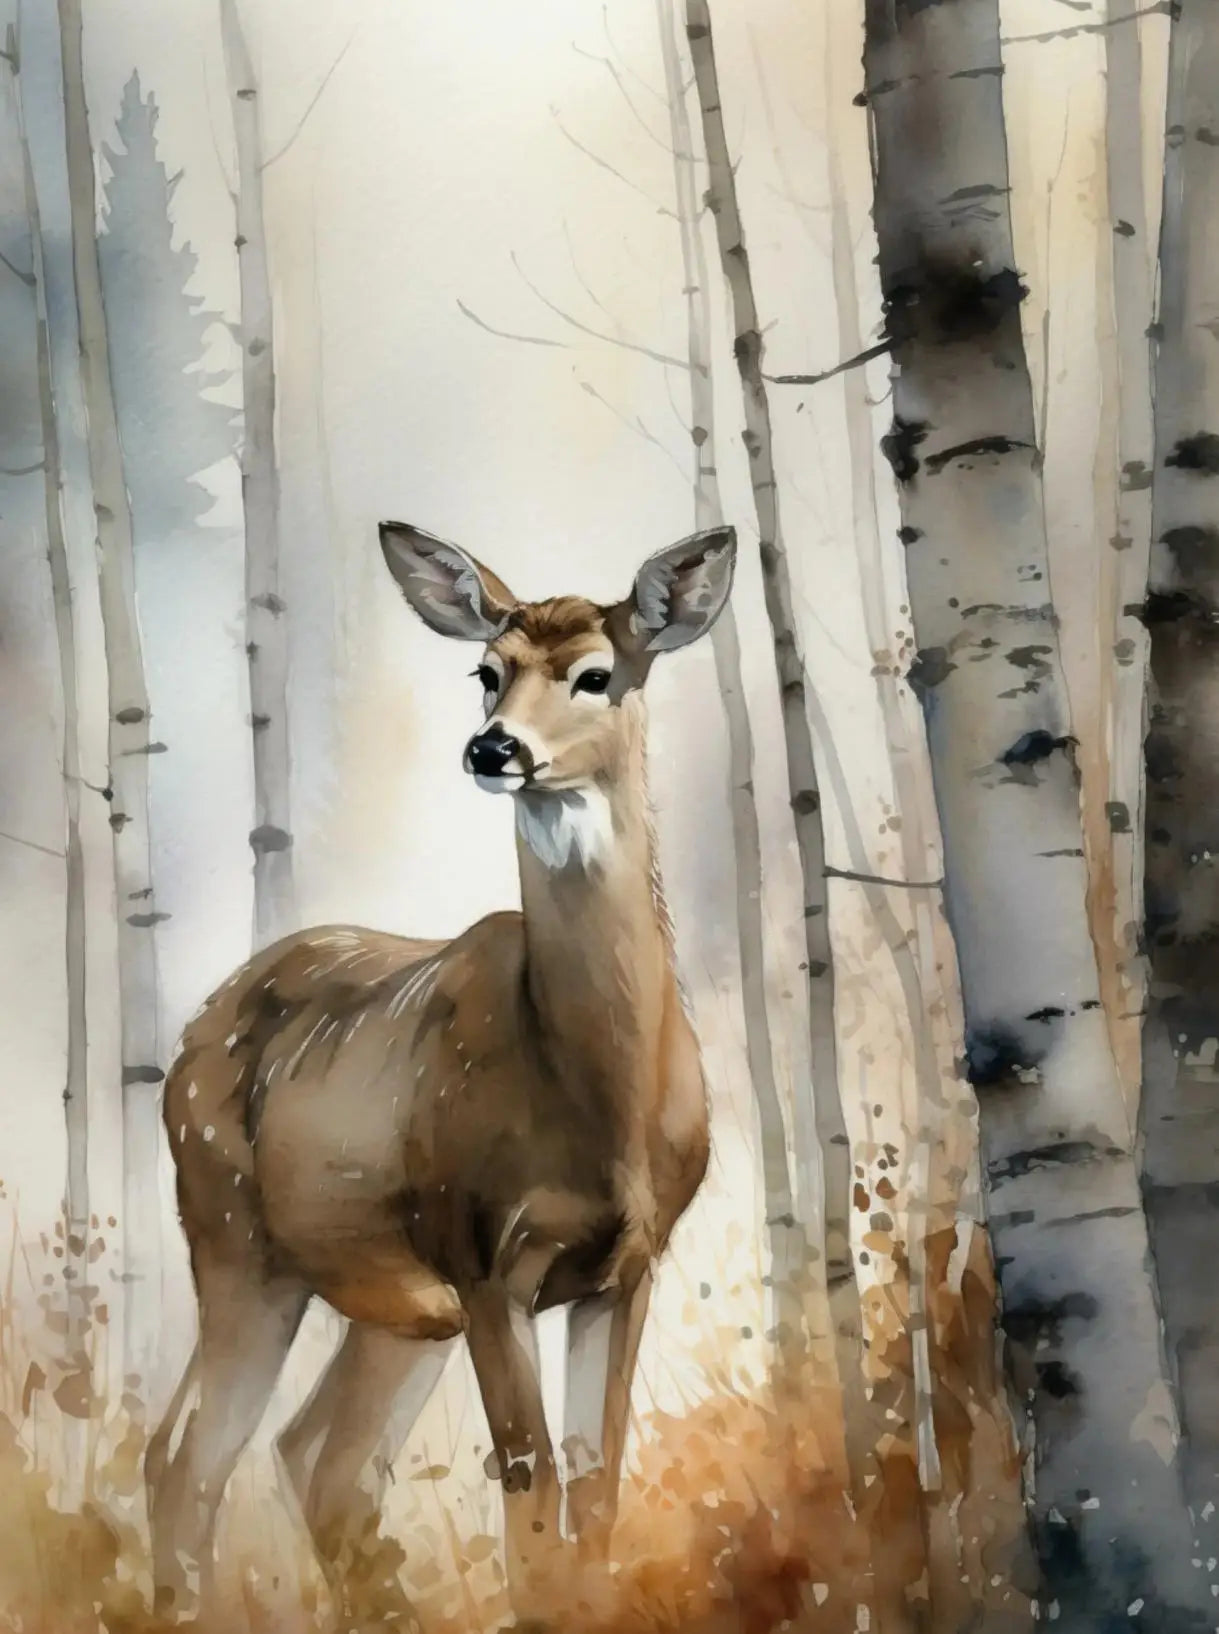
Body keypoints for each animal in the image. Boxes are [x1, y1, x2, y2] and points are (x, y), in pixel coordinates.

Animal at [144, 519, 737, 1628]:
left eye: (597, 673)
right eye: (486, 671)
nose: (494, 747)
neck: (602, 1109)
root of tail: (197, 1025)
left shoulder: (628, 1264)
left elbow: (596, 1482)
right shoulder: (486, 1252)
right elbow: (530, 1481)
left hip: (391, 1301)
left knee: (318, 1460)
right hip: (234, 1232)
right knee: (189, 1454)